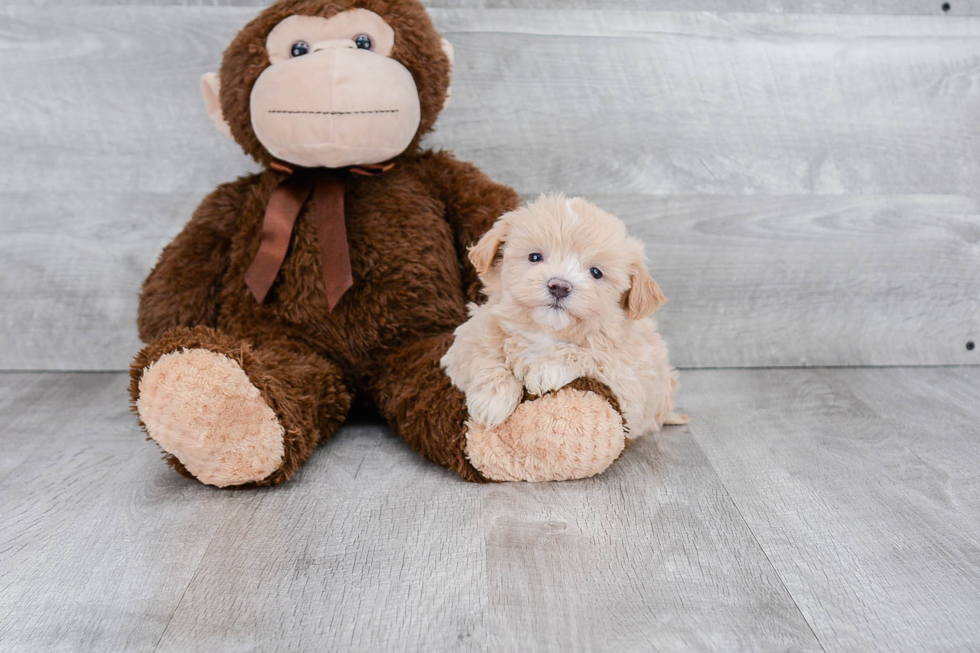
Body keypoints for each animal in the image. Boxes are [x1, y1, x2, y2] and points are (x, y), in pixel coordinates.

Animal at [440, 194, 684, 438]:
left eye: (596, 272)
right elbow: (484, 355)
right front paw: (492, 399)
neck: (544, 332)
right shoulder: (467, 341)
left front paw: (545, 369)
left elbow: (593, 356)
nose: (559, 286)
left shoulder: (631, 387)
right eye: (535, 257)